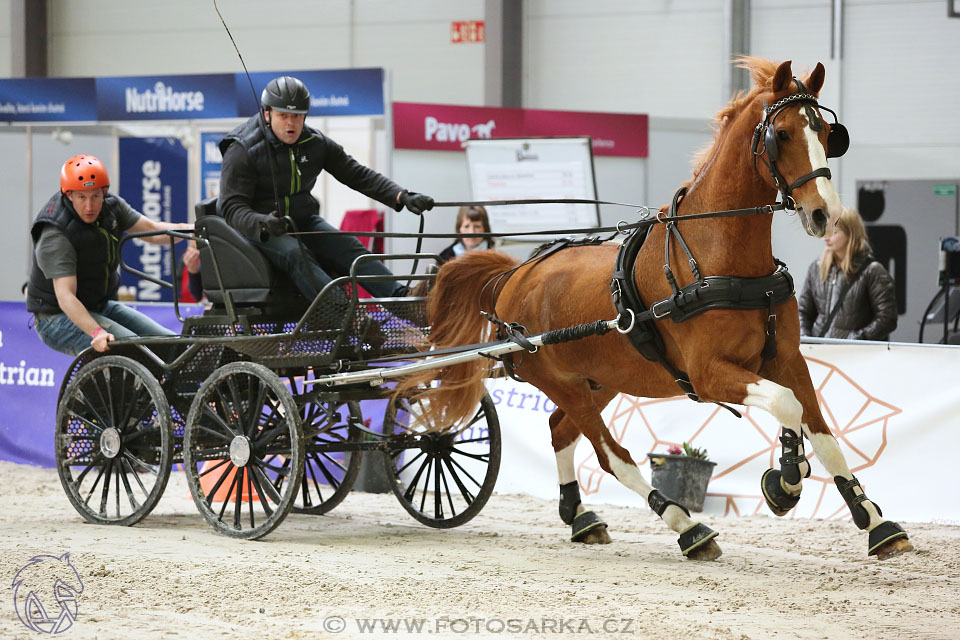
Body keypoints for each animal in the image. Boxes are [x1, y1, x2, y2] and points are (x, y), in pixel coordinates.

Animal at [402, 58, 912, 560]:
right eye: (782, 134)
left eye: (827, 133)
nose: (827, 215)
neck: (719, 259)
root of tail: (515, 274)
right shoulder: (708, 374)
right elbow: (786, 405)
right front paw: (785, 481)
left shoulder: (787, 358)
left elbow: (825, 438)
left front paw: (876, 523)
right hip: (560, 382)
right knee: (611, 455)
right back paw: (687, 527)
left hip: (601, 379)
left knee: (560, 429)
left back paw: (580, 516)